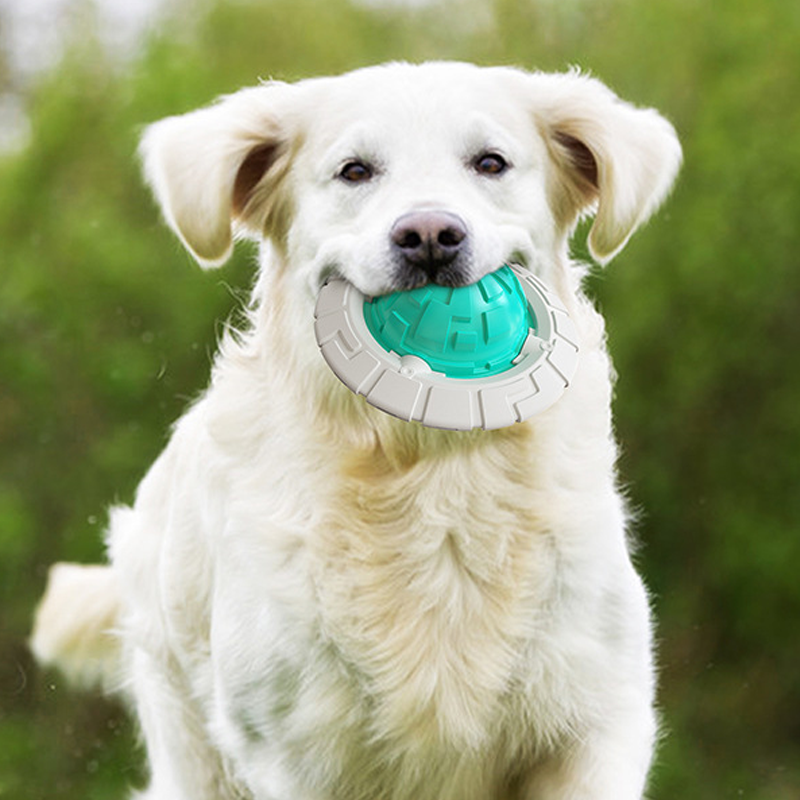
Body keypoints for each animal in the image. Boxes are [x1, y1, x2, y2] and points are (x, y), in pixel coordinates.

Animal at [31, 64, 680, 800]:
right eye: (355, 171)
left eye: (490, 163)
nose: (429, 235)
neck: (429, 469)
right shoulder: (296, 753)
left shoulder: (596, 720)